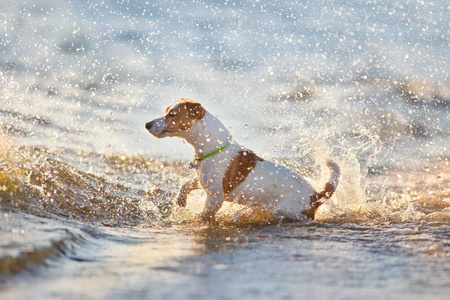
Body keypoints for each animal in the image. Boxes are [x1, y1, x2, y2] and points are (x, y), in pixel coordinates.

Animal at [146, 99, 340, 221]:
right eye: (166, 111)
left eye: (172, 114)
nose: (147, 124)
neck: (213, 148)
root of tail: (315, 196)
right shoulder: (204, 182)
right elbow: (186, 184)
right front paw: (181, 200)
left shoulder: (215, 198)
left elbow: (204, 215)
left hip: (284, 210)